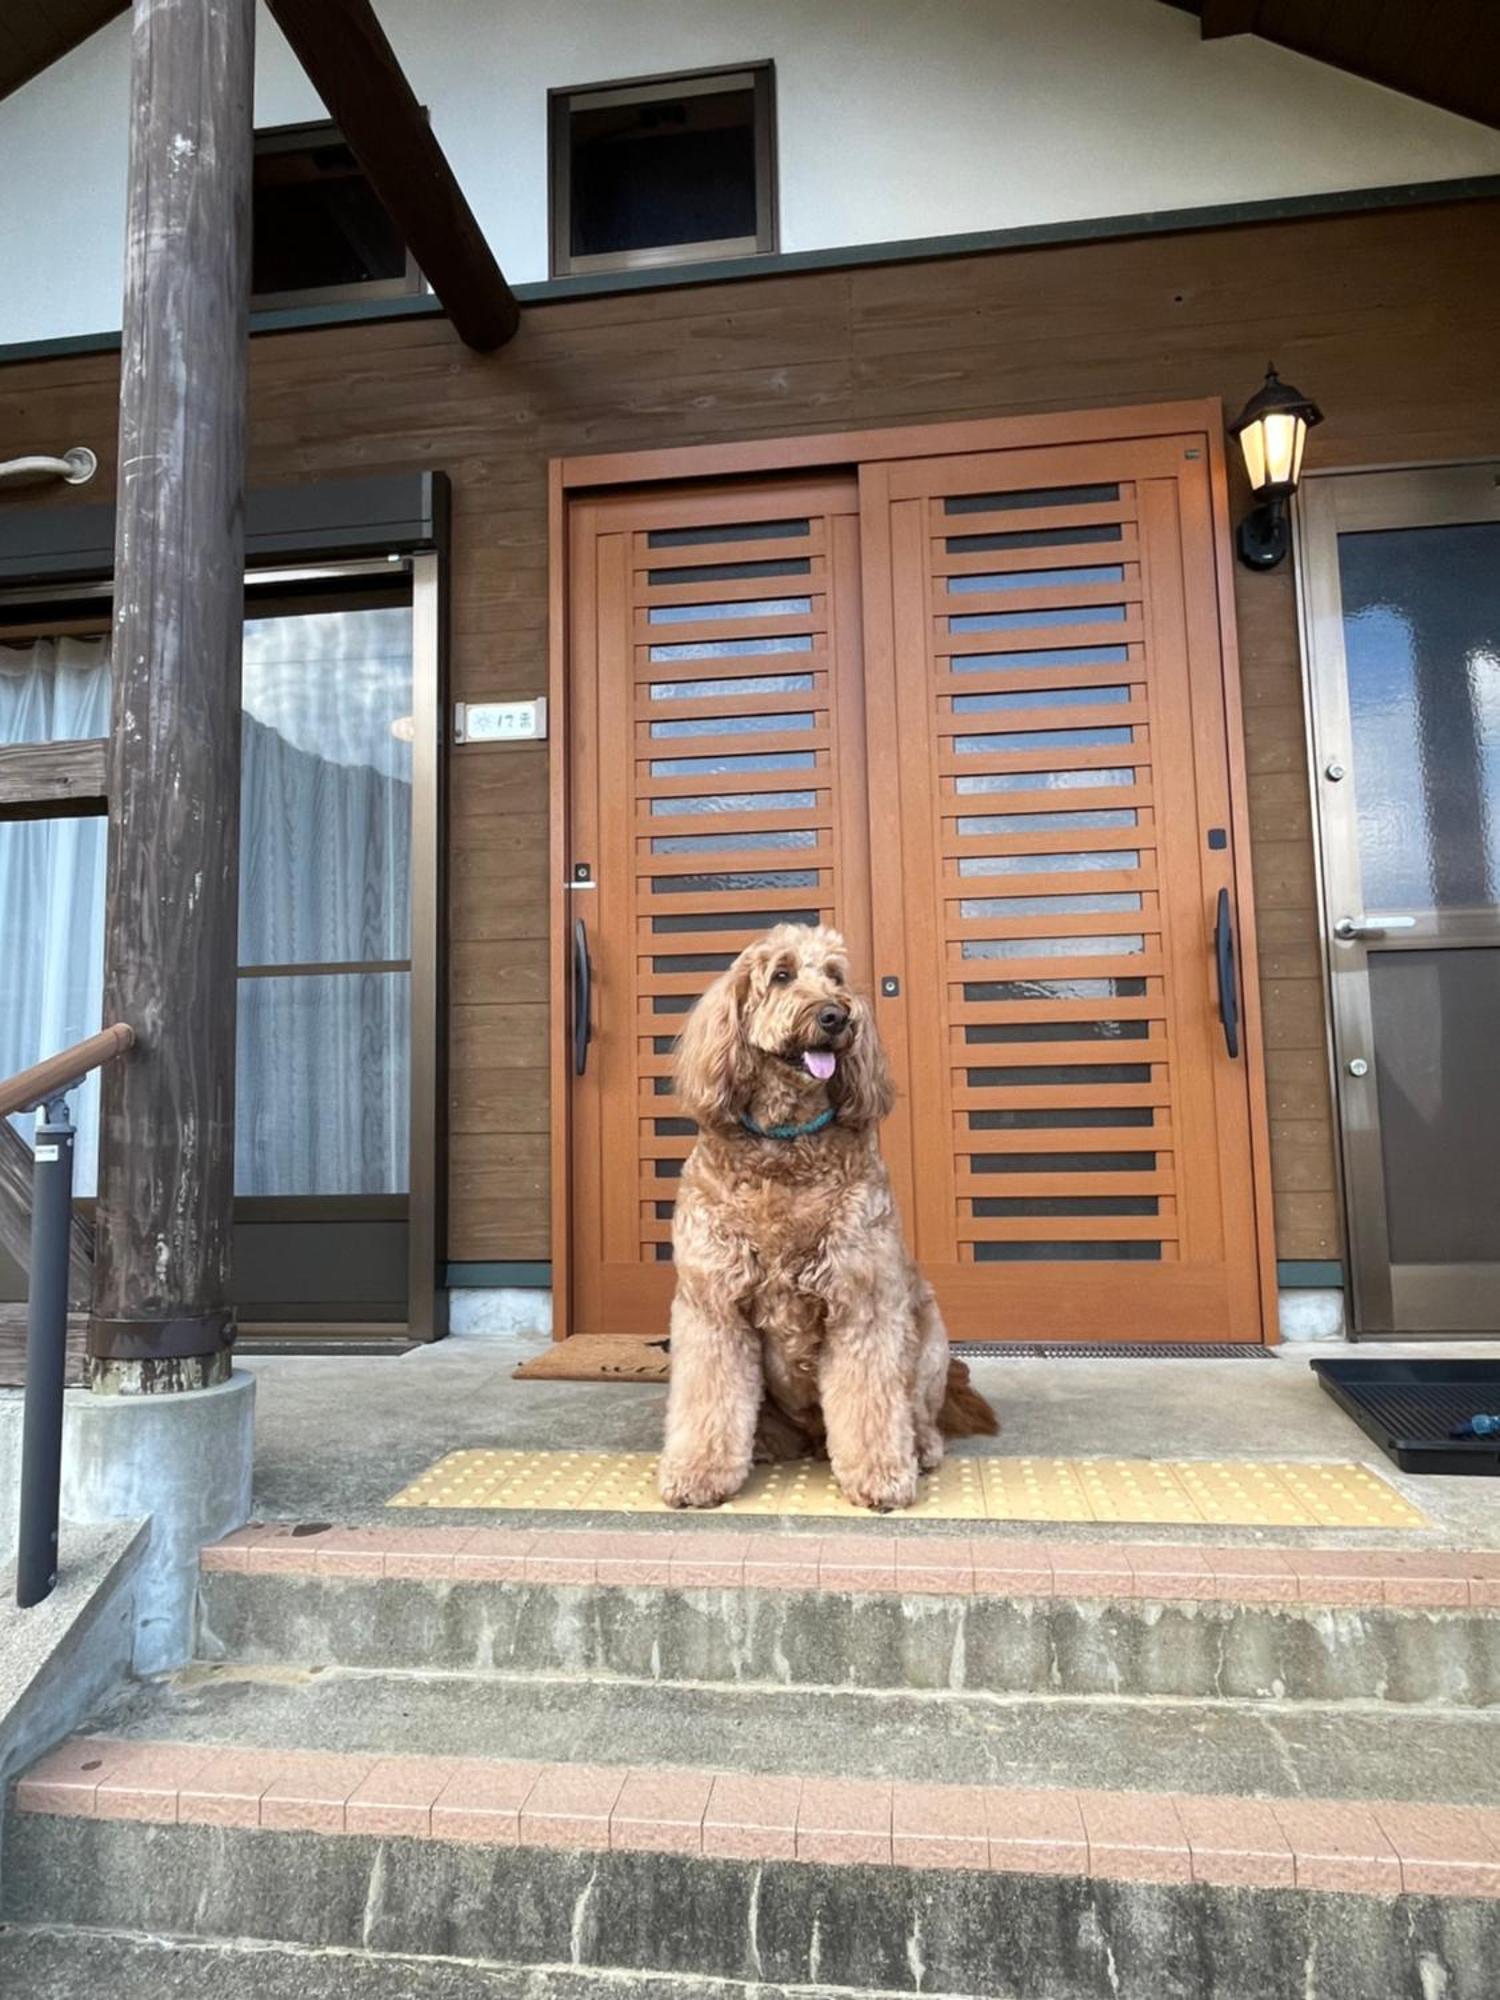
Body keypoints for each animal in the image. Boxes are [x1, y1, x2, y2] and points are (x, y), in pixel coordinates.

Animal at [656, 920, 1000, 1512]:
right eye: (782, 975)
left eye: (836, 976)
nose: (838, 1015)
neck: (784, 1147)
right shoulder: (711, 1306)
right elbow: (708, 1399)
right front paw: (698, 1474)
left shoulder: (863, 1301)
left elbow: (869, 1403)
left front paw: (880, 1476)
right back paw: (765, 1444)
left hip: (930, 1337)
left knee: (919, 1411)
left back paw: (920, 1449)